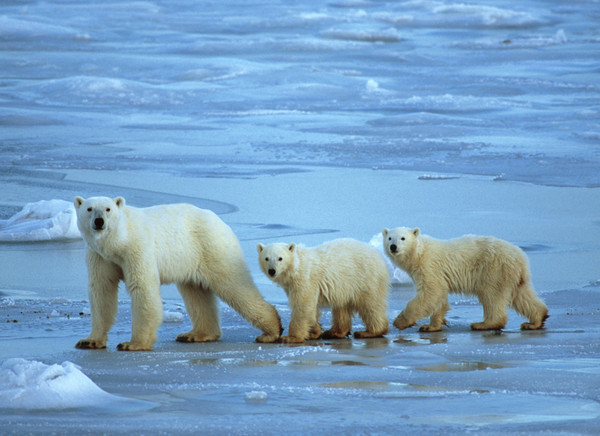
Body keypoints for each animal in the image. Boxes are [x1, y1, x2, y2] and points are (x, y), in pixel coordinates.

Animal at [74, 197, 282, 350]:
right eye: (89, 209)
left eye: (108, 209)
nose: (99, 221)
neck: (118, 242)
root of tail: (221, 222)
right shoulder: (100, 257)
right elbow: (101, 290)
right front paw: (90, 340)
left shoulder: (137, 249)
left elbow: (142, 287)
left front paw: (132, 344)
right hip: (191, 260)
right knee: (196, 293)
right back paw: (195, 334)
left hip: (212, 248)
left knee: (234, 284)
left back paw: (271, 331)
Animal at [384, 228, 548, 330]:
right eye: (389, 237)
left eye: (403, 238)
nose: (393, 246)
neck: (419, 253)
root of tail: (521, 257)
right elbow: (438, 296)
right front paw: (431, 326)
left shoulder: (429, 266)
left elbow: (431, 292)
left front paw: (400, 322)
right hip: (513, 276)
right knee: (522, 295)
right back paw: (535, 321)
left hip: (494, 270)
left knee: (491, 295)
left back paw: (483, 324)